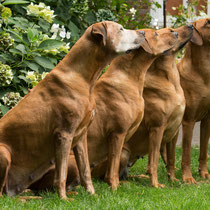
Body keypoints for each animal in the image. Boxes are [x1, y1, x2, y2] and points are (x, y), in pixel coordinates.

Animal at [0, 20, 145, 199]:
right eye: (121, 29)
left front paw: (92, 195)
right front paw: (63, 199)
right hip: (4, 151)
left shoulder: (81, 135)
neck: (82, 78)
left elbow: (85, 171)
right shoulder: (64, 134)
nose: (143, 33)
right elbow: (61, 174)